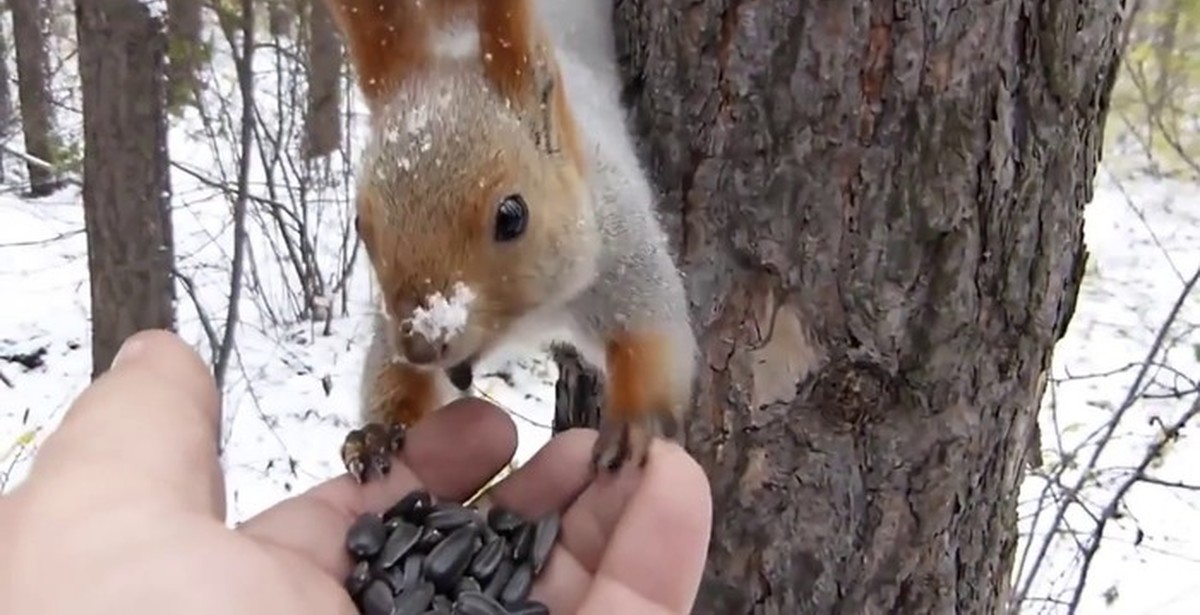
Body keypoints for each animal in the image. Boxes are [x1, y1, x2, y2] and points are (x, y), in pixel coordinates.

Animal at [324, 0, 700, 482]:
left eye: (511, 216)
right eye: (360, 224)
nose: (422, 345)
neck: (528, 317)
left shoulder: (621, 249)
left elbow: (654, 329)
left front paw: (636, 423)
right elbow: (392, 370)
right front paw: (377, 433)